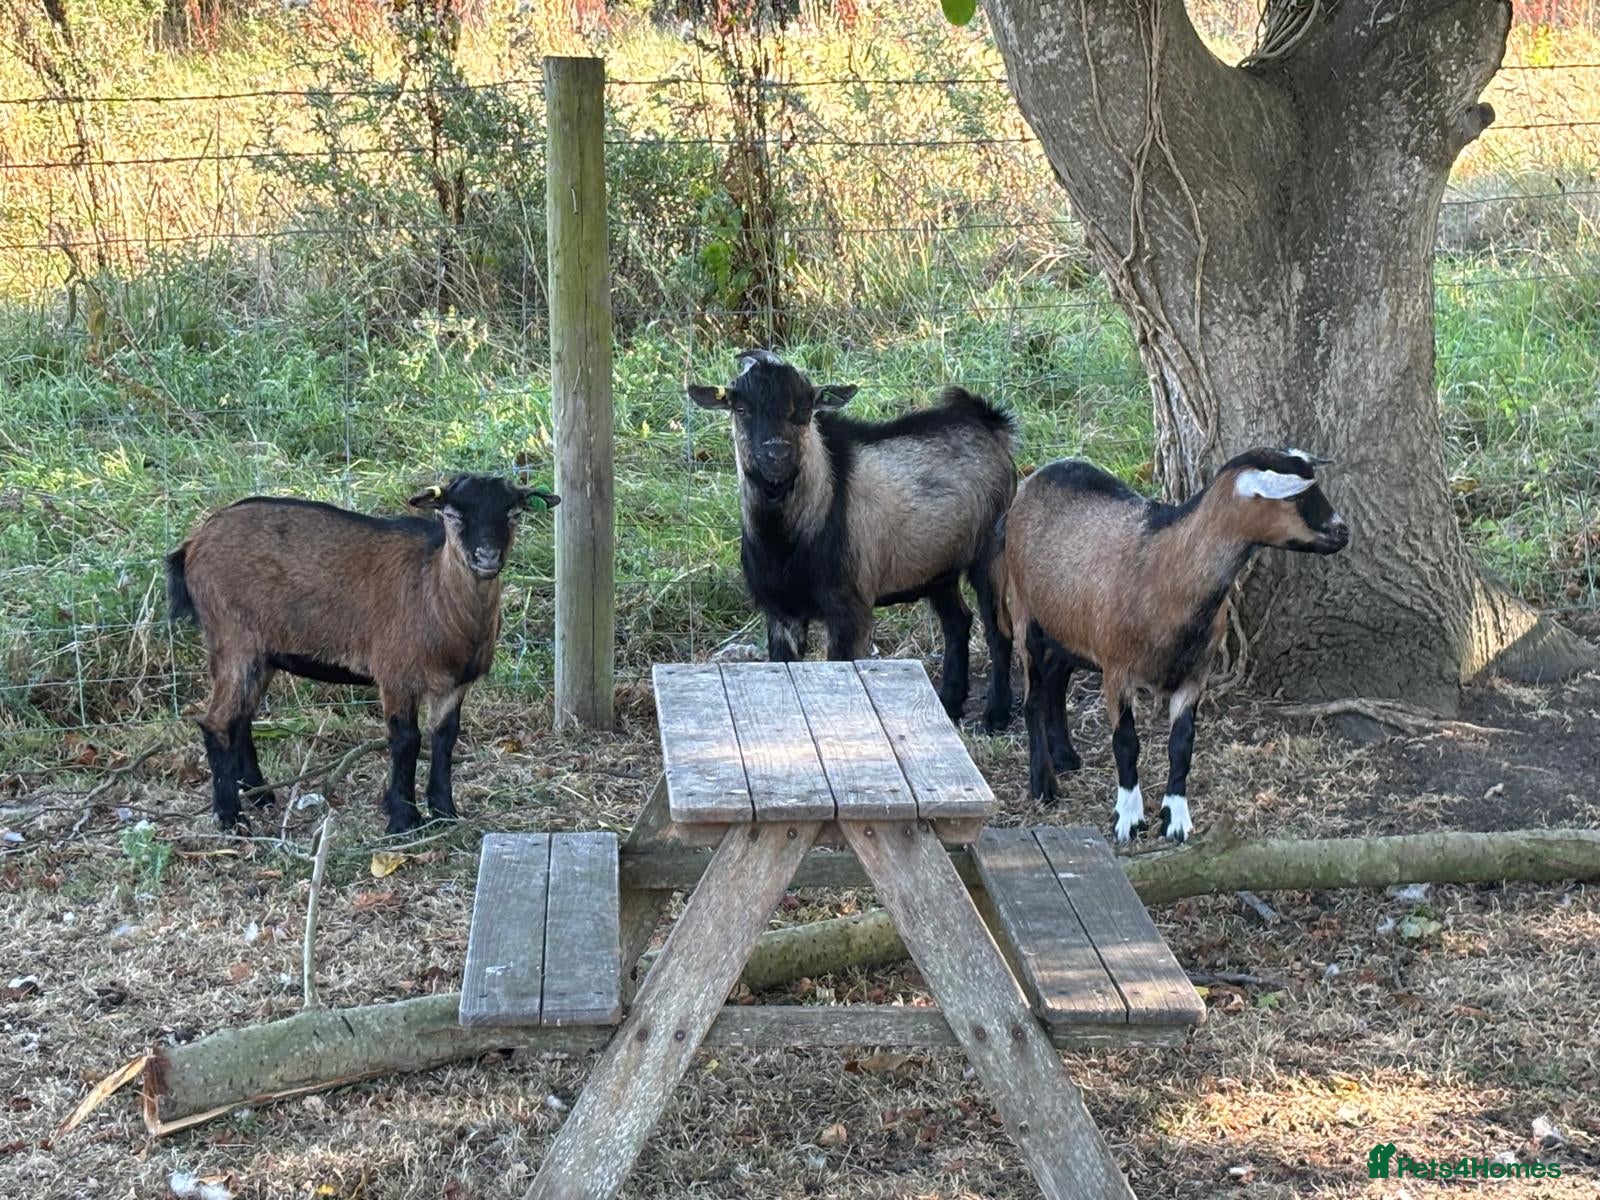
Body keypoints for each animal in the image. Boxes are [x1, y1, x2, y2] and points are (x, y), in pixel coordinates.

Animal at [166, 474, 558, 833]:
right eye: (452, 514)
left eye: (513, 513)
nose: (487, 557)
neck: (433, 590)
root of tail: (193, 544)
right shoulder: (396, 674)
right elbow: (406, 740)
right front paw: (403, 819)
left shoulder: (454, 684)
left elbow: (444, 739)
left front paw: (445, 812)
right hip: (233, 638)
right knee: (216, 722)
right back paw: (230, 818)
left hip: (261, 653)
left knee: (241, 718)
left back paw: (260, 795)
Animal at [687, 349, 1017, 721]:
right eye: (741, 408)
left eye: (805, 408)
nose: (776, 454)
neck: (788, 541)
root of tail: (990, 422)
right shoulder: (780, 611)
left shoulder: (851, 610)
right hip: (939, 570)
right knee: (958, 622)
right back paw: (950, 701)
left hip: (990, 554)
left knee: (998, 630)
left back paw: (995, 715)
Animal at [996, 448, 1348, 842]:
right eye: (1297, 497)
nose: (1343, 531)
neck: (1167, 570)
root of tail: (1038, 476)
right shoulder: (1116, 669)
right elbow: (1126, 742)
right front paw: (1128, 818)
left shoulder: (1195, 674)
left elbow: (1182, 744)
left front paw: (1176, 819)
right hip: (1026, 611)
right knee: (1033, 697)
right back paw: (1044, 784)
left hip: (1068, 623)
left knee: (1056, 680)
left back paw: (1066, 758)